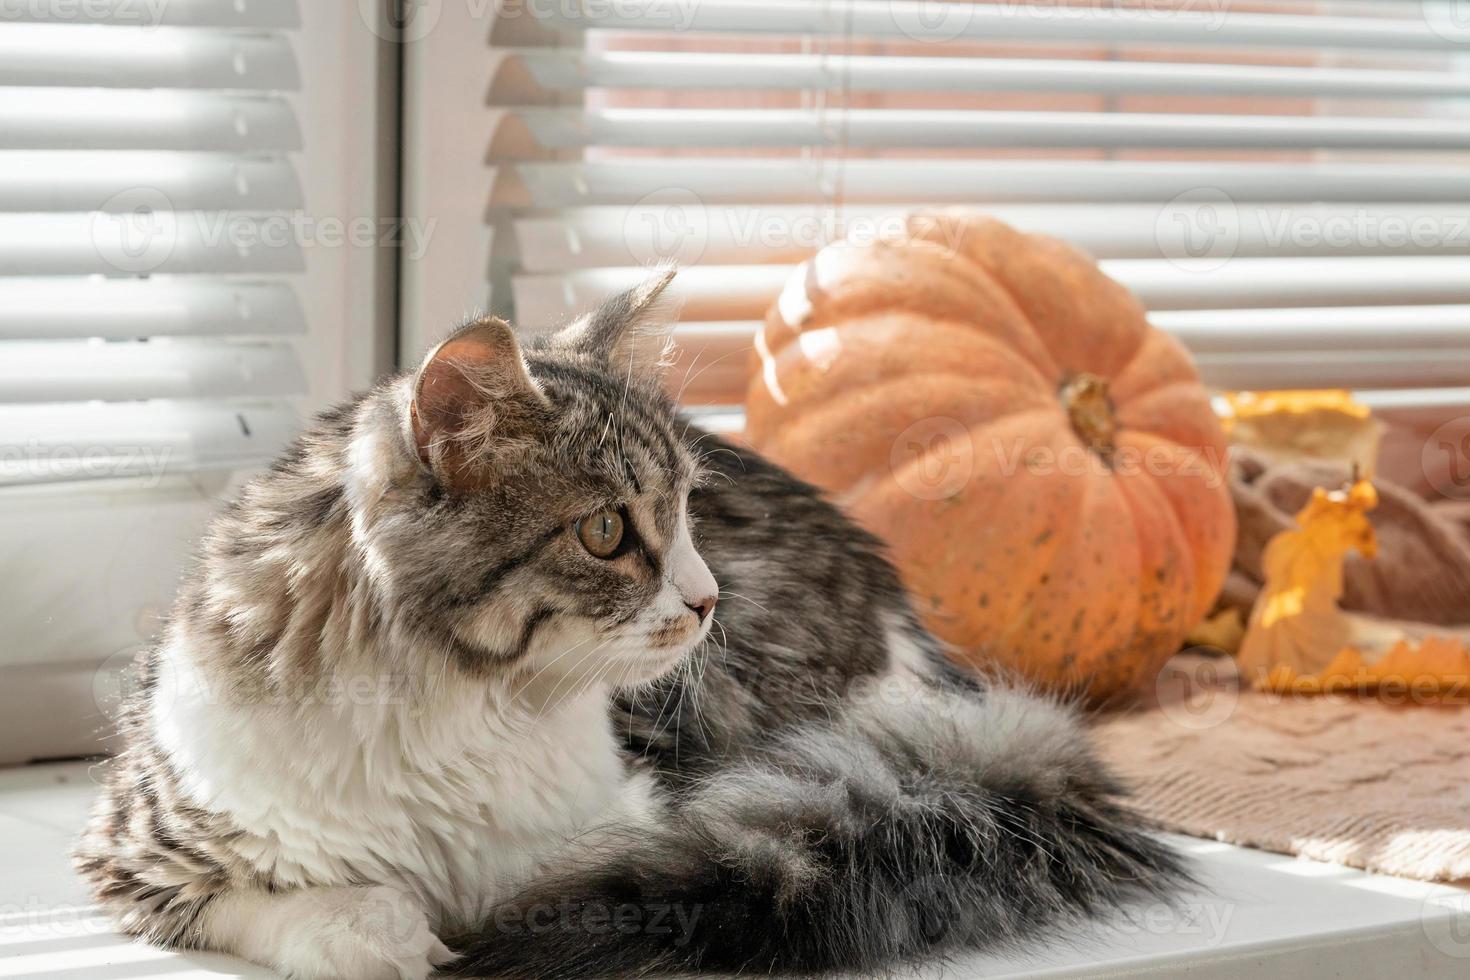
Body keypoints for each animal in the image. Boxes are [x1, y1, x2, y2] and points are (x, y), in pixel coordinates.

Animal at [74, 270, 1187, 980]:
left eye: (690, 507)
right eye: (607, 530)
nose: (706, 597)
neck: (463, 707)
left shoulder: (642, 810)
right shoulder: (140, 847)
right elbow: (295, 904)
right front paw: (388, 931)